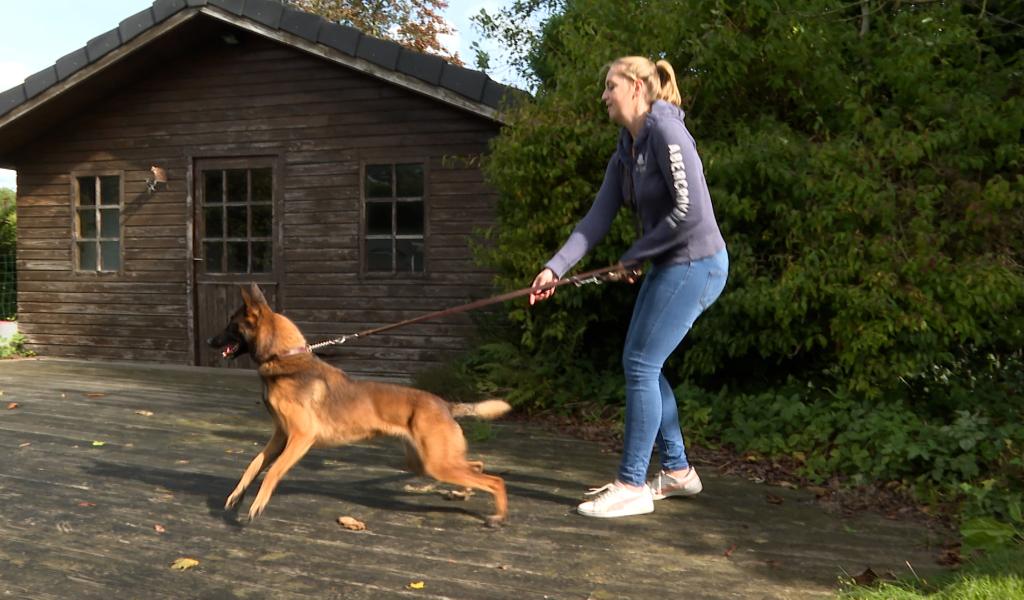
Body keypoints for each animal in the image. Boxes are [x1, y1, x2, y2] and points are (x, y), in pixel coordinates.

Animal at [207, 284, 512, 524]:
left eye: (231, 324)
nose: (210, 340)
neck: (284, 358)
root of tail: (446, 405)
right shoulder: (280, 437)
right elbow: (254, 465)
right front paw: (237, 495)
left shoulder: (301, 437)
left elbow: (273, 471)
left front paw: (258, 503)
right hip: (427, 462)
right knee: (477, 466)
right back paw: (464, 492)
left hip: (437, 463)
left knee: (495, 480)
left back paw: (497, 515)